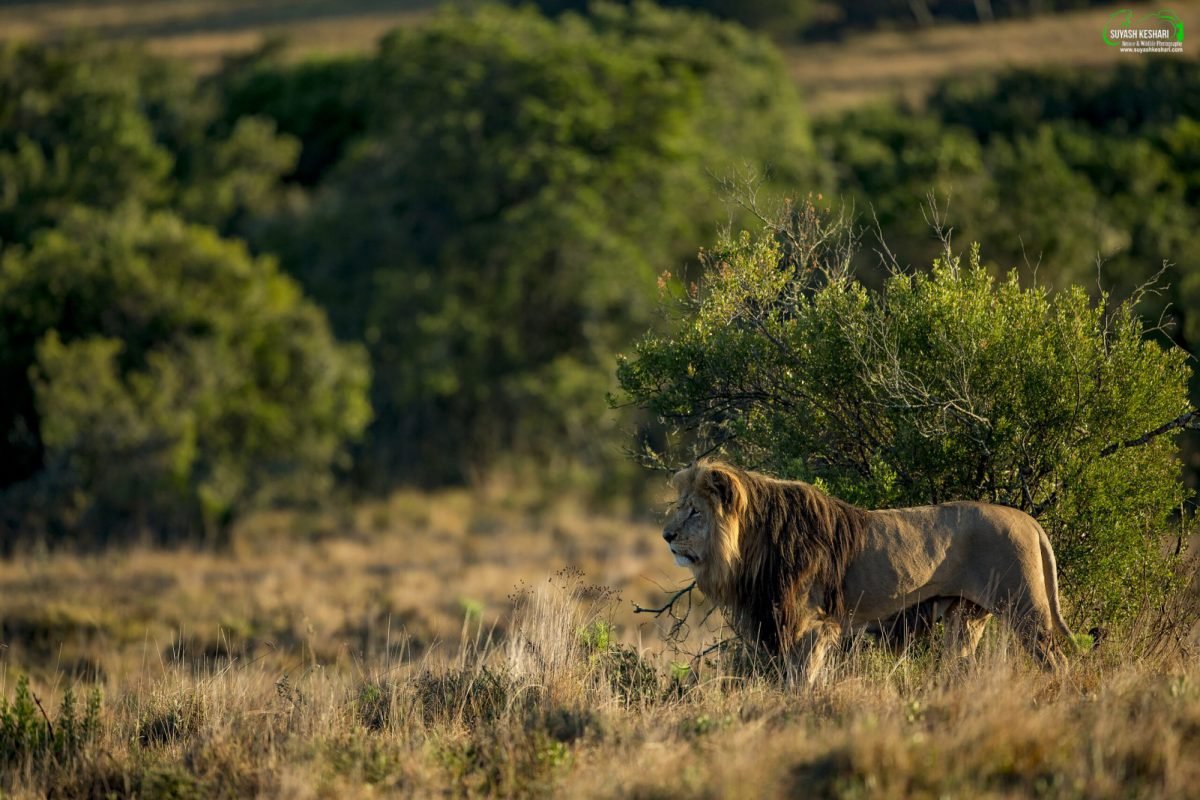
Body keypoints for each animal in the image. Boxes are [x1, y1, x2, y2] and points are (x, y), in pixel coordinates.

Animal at [661, 460, 1075, 686]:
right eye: (680, 507)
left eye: (695, 511)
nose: (666, 536)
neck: (752, 543)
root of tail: (1028, 520)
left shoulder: (809, 625)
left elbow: (801, 682)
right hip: (966, 616)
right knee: (962, 664)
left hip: (1025, 609)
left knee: (1058, 661)